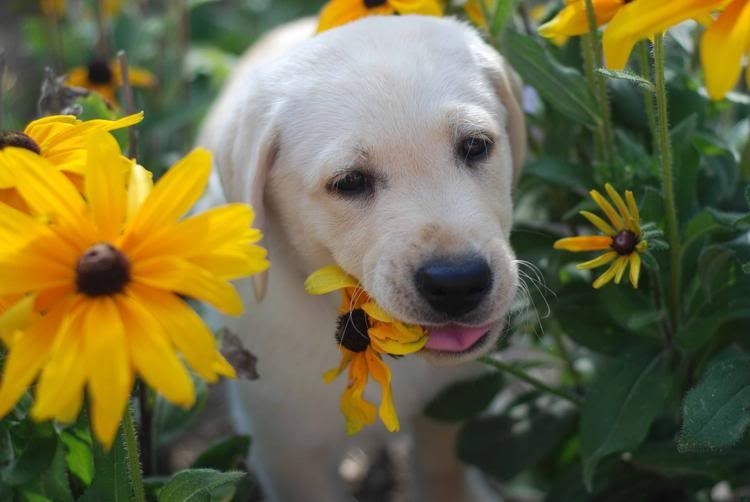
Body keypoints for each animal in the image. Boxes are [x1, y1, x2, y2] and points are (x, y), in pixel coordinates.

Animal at [200, 15, 528, 502]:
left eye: (475, 146)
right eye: (350, 182)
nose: (458, 283)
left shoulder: (448, 406)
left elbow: (443, 472)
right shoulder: (288, 454)